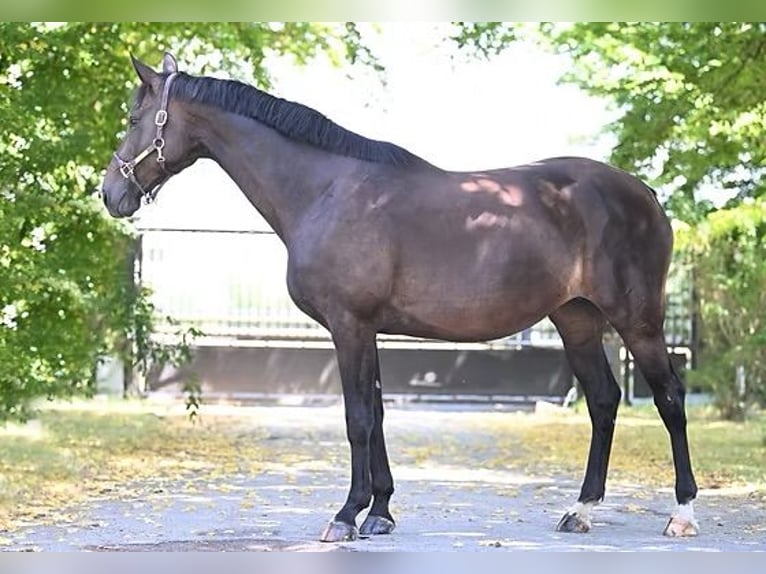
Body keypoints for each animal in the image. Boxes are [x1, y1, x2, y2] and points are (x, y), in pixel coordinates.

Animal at [100, 54, 704, 544]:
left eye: (133, 120)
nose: (111, 193)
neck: (326, 191)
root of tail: (645, 194)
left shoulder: (348, 325)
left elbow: (357, 419)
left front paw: (346, 515)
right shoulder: (367, 328)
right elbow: (379, 413)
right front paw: (380, 513)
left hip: (638, 321)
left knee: (669, 398)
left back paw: (682, 513)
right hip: (576, 319)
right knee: (603, 400)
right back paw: (580, 510)